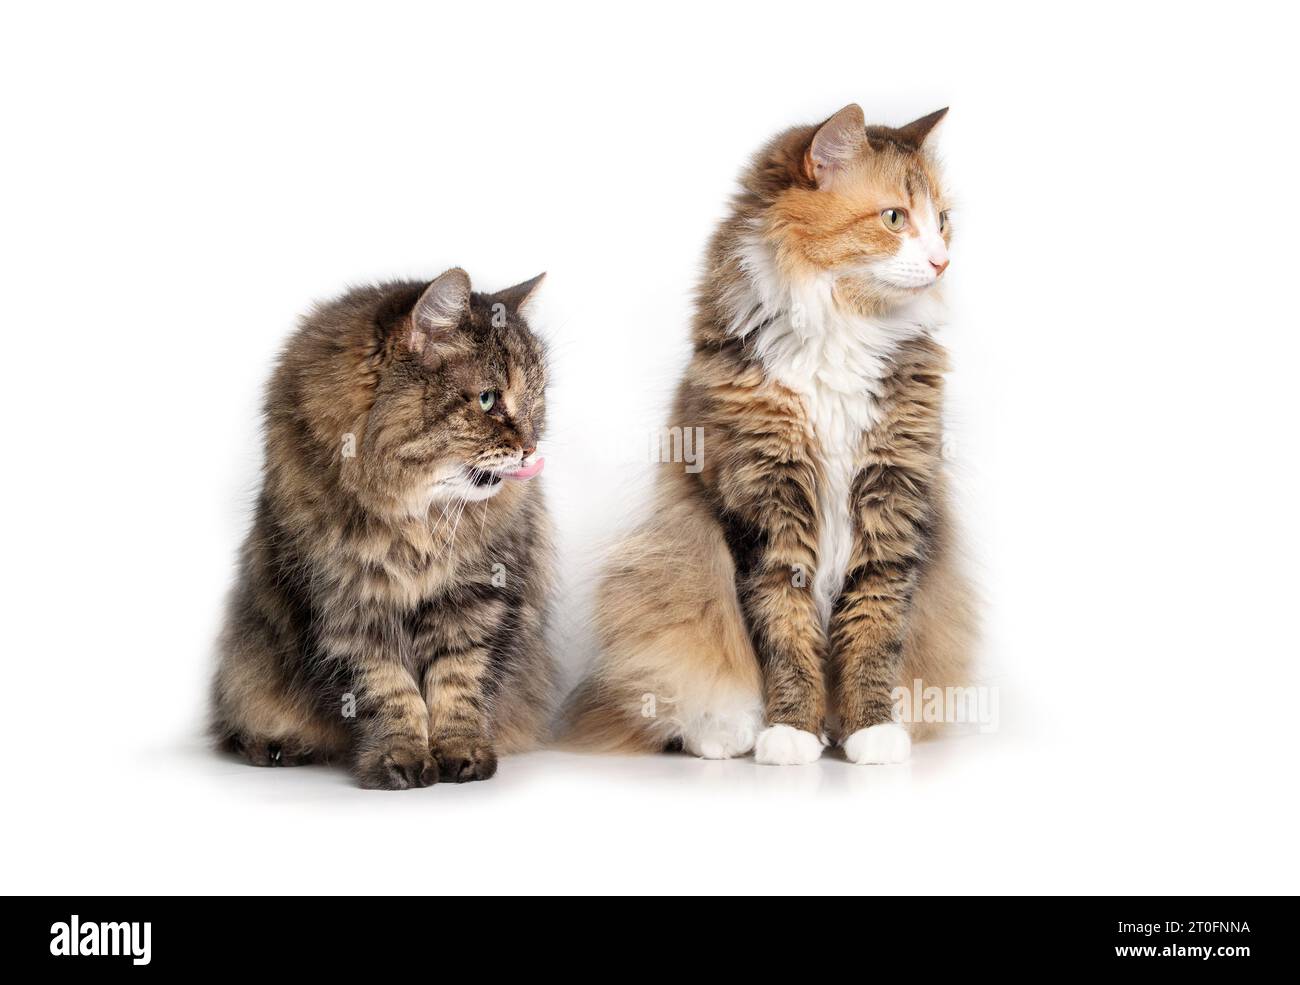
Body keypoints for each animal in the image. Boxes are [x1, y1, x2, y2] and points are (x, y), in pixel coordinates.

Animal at [211, 266, 553, 790]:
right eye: (487, 400)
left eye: (537, 404)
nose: (532, 446)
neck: (416, 520)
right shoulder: (343, 607)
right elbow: (388, 693)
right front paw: (403, 759)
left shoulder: (477, 600)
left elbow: (459, 683)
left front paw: (461, 755)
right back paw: (275, 747)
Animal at [566, 105, 977, 764]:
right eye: (894, 218)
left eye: (942, 222)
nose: (942, 261)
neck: (843, 333)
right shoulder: (763, 508)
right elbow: (786, 634)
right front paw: (790, 732)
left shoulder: (892, 499)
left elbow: (874, 634)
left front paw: (870, 731)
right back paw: (727, 734)